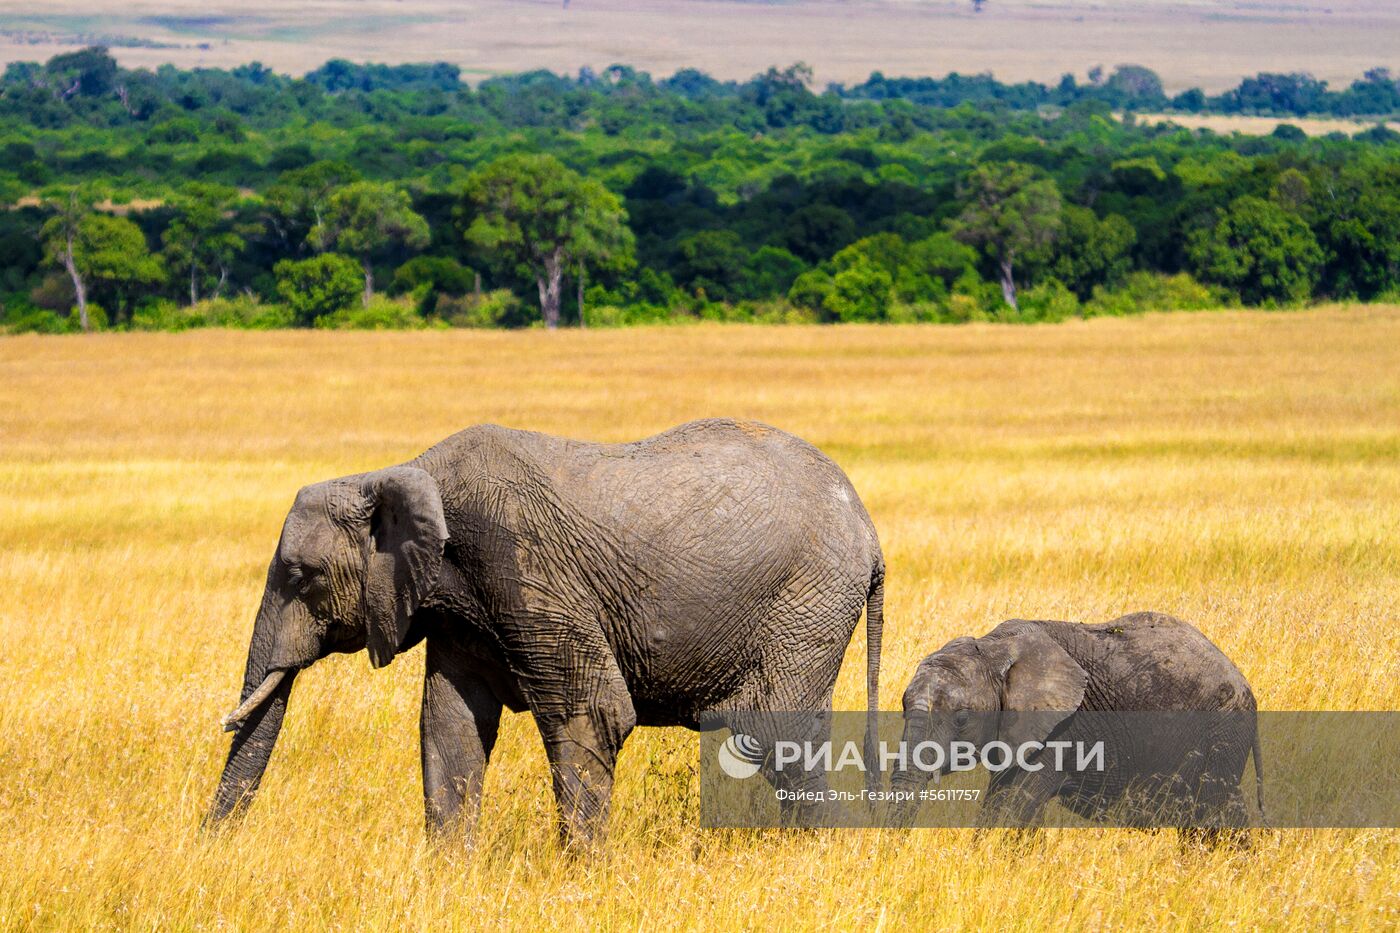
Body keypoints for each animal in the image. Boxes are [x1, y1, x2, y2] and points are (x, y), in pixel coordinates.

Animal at [207, 417, 884, 840]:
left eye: (302, 577)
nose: (211, 848)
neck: (402, 472)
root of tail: (870, 531)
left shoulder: (521, 561)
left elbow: (593, 714)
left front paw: (583, 876)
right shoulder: (460, 610)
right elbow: (449, 726)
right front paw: (449, 875)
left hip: (807, 601)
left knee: (773, 734)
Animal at [896, 610, 1271, 829]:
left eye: (961, 718)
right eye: (901, 707)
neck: (993, 648)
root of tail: (1246, 686)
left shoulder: (1061, 730)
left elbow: (1014, 806)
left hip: (1223, 730)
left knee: (1212, 812)